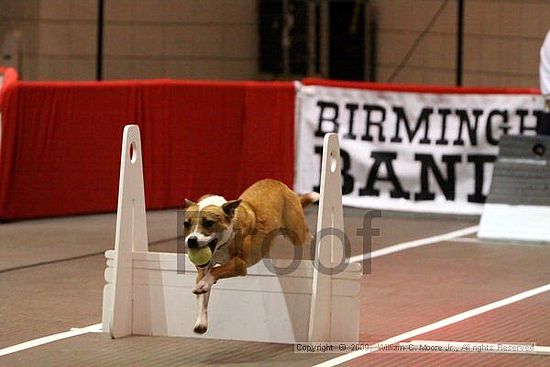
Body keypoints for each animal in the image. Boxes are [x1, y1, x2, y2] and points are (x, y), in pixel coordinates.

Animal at [183, 178, 320, 334]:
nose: (191, 240)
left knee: (306, 237)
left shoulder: (240, 265)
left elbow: (216, 269)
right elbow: (202, 295)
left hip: (297, 233)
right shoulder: (203, 269)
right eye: (186, 224)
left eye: (208, 223)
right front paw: (201, 320)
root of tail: (285, 187)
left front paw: (204, 284)